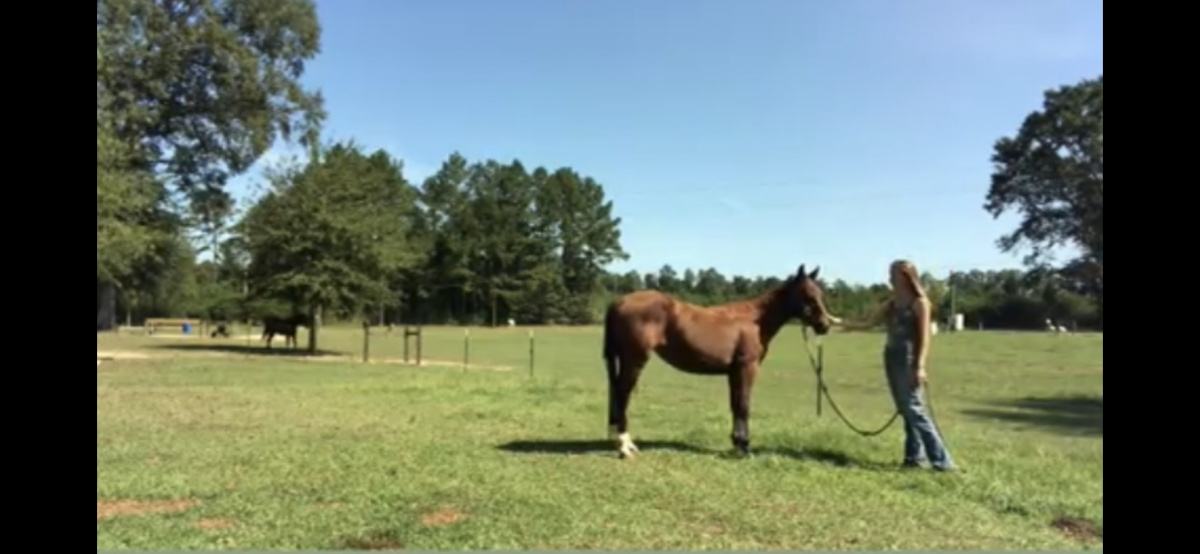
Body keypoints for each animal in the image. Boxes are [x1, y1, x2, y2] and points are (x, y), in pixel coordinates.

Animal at [604, 263, 840, 458]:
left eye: (820, 293)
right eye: (807, 294)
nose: (824, 325)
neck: (755, 321)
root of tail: (618, 301)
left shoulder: (733, 372)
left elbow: (735, 404)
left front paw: (737, 443)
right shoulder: (747, 368)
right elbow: (744, 404)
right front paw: (745, 447)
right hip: (635, 360)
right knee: (622, 394)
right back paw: (624, 445)